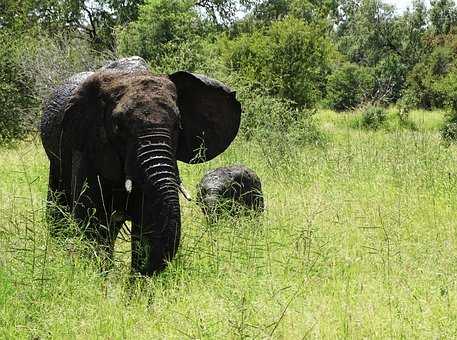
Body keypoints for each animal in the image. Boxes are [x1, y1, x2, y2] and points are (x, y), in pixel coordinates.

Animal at [40, 57, 240, 274]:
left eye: (178, 126)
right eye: (118, 127)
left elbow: (149, 224)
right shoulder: (88, 147)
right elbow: (94, 219)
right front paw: (100, 276)